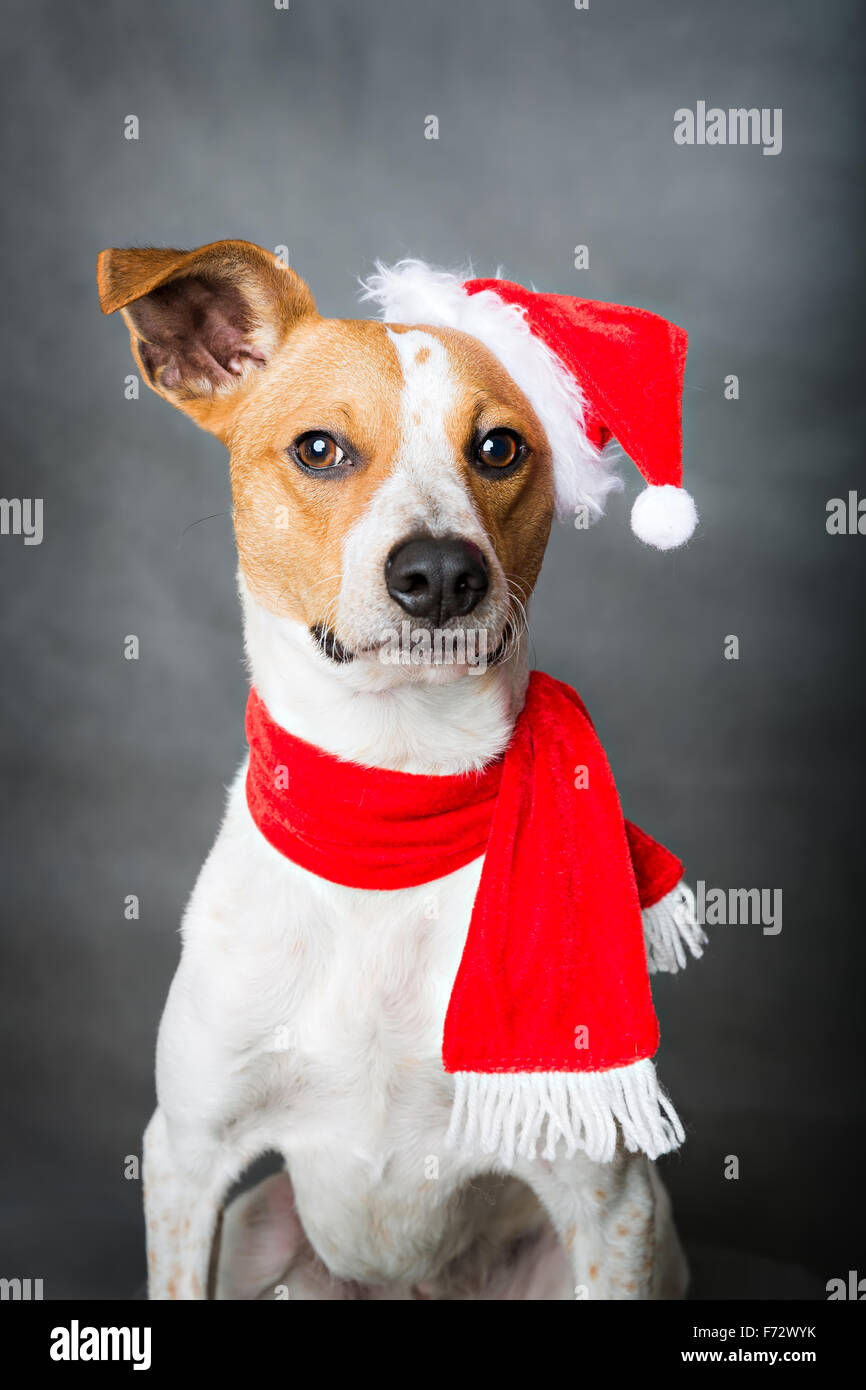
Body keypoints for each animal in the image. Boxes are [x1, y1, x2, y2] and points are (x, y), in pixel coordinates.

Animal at [97, 241, 700, 1301]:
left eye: (499, 449)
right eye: (318, 449)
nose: (442, 574)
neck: (391, 794)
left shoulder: (611, 1200)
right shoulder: (184, 1157)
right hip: (260, 1225)